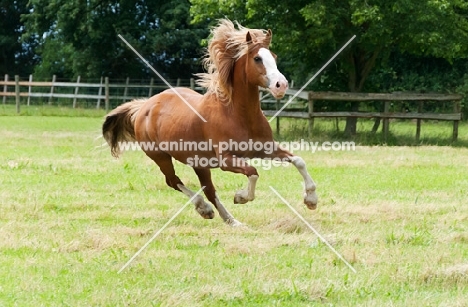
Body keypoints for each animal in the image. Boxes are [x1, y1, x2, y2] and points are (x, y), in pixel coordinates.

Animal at [102, 19, 318, 226]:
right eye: (257, 58)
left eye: (274, 56)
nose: (281, 85)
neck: (238, 115)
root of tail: (144, 106)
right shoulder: (225, 160)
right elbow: (253, 172)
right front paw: (240, 197)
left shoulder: (265, 149)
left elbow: (298, 160)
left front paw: (311, 200)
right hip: (160, 156)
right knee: (173, 181)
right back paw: (205, 209)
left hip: (199, 163)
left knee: (208, 190)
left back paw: (231, 221)